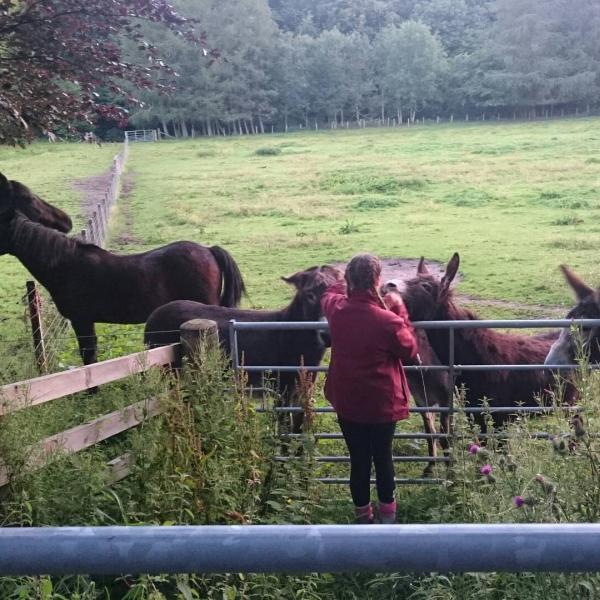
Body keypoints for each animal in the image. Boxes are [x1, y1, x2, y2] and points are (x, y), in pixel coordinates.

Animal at [0, 176, 246, 366]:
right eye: (29, 198)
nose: (66, 220)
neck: (67, 265)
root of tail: (208, 249)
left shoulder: (82, 320)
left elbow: (88, 357)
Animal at [145, 266, 342, 432]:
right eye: (310, 295)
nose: (328, 335)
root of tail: (153, 316)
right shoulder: (282, 390)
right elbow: (285, 431)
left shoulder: (303, 389)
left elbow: (298, 429)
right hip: (171, 371)